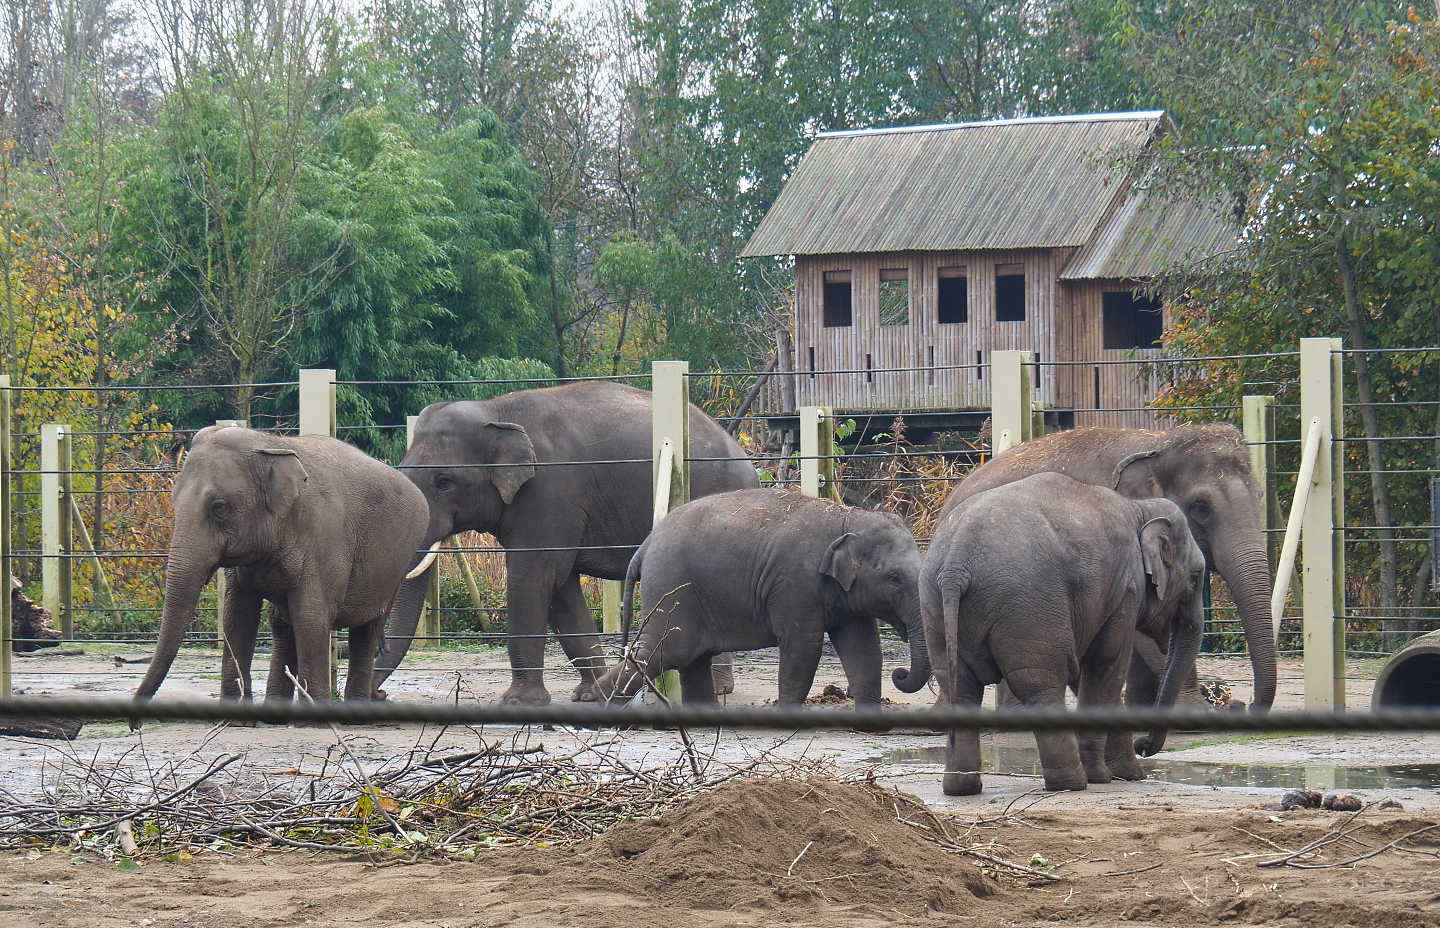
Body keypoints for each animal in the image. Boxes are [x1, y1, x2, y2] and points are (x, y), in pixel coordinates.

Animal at [132, 425, 431, 714]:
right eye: (172, 499)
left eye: (218, 507)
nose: (135, 724)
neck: (269, 444)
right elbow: (238, 615)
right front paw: (235, 720)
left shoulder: (325, 540)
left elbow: (310, 615)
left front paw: (311, 722)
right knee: (283, 625)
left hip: (397, 565)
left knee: (366, 630)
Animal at [378, 381, 760, 705]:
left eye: (444, 482)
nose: (379, 695)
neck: (495, 409)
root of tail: (748, 461)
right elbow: (561, 589)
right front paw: (593, 694)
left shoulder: (550, 493)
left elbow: (534, 578)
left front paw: (519, 702)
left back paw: (719, 689)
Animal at [594, 488, 930, 707]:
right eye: (895, 579)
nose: (900, 674)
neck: (848, 518)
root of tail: (645, 546)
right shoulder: (796, 583)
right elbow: (803, 645)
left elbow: (864, 646)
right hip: (670, 588)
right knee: (664, 650)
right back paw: (592, 698)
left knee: (691, 658)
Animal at [923, 473, 1206, 795]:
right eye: (1195, 577)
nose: (1144, 744)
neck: (1140, 509)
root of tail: (955, 567)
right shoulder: (1125, 589)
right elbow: (1105, 667)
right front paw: (1107, 777)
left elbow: (1088, 673)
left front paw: (1128, 775)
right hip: (1028, 606)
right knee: (1040, 685)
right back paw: (1074, 783)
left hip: (935, 605)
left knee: (960, 688)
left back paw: (961, 788)